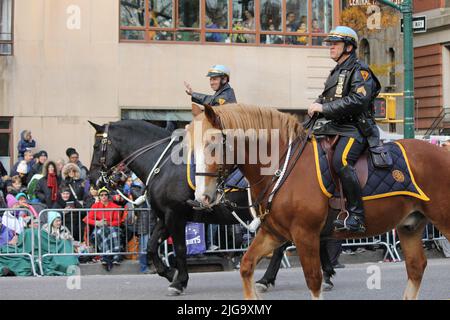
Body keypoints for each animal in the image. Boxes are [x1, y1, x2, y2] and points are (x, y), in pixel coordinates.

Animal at [186, 103, 450, 300]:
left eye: (212, 144)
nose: (201, 197)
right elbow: (246, 266)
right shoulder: (274, 233)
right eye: (192, 147)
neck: (283, 167)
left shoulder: (305, 234)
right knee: (416, 267)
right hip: (410, 225)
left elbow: (314, 280)